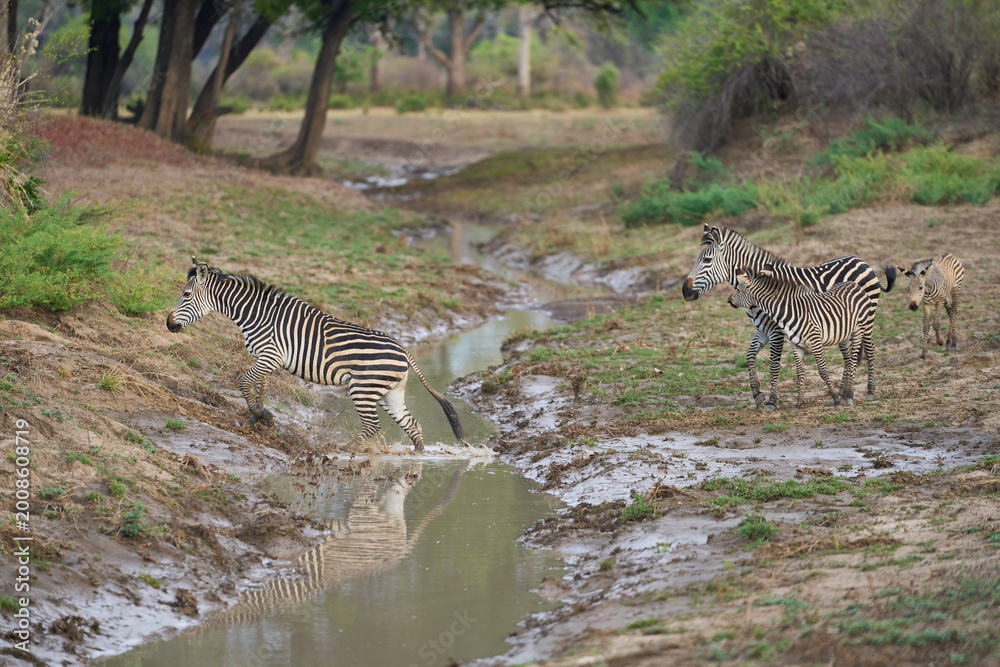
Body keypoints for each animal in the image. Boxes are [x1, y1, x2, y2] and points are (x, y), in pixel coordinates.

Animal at [166, 258, 464, 451]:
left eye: (186, 295)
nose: (168, 324)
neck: (256, 314)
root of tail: (403, 349)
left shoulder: (270, 355)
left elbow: (244, 381)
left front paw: (257, 414)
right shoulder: (267, 359)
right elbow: (260, 386)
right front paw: (261, 416)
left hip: (364, 389)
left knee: (372, 427)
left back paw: (345, 450)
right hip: (391, 392)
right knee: (412, 425)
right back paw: (418, 458)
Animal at [728, 265, 869, 409]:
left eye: (738, 289)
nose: (728, 300)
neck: (788, 312)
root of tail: (854, 283)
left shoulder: (815, 342)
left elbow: (822, 370)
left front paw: (836, 399)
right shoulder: (796, 344)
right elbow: (799, 372)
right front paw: (799, 402)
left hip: (859, 329)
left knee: (854, 360)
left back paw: (849, 395)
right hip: (843, 335)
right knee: (848, 360)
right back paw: (844, 393)